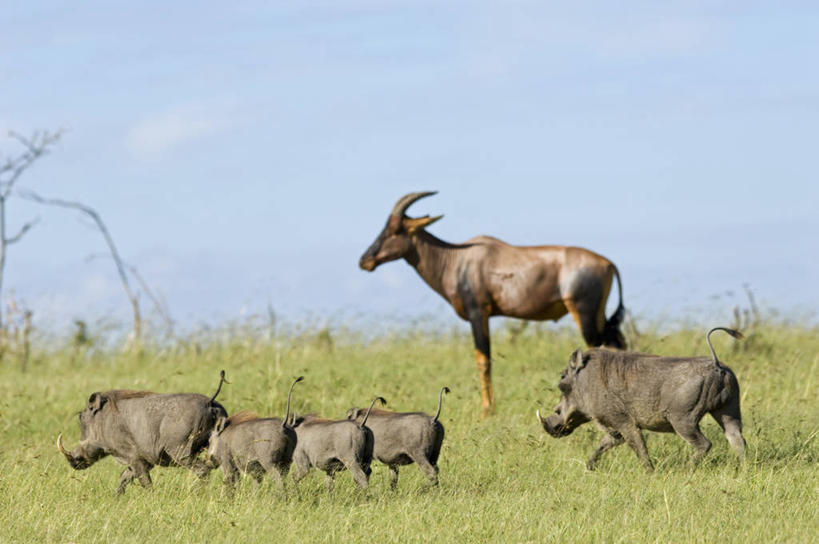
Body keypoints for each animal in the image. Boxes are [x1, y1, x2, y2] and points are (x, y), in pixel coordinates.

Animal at [362, 191, 624, 416]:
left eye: (396, 230)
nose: (365, 260)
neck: (459, 258)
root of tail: (608, 263)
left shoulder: (478, 314)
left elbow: (483, 360)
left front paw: (487, 411)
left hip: (584, 313)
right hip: (599, 316)